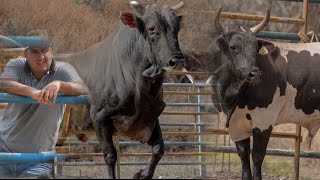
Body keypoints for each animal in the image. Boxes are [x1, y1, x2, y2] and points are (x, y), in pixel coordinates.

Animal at [66, 1, 185, 179]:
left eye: (177, 28)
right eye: (151, 28)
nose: (177, 60)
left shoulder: (150, 118)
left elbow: (159, 149)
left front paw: (142, 174)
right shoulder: (100, 119)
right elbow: (110, 155)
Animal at [208, 8, 320, 180]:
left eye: (256, 48)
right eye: (233, 47)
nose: (255, 74)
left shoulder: (263, 121)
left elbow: (257, 155)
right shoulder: (235, 125)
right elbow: (243, 154)